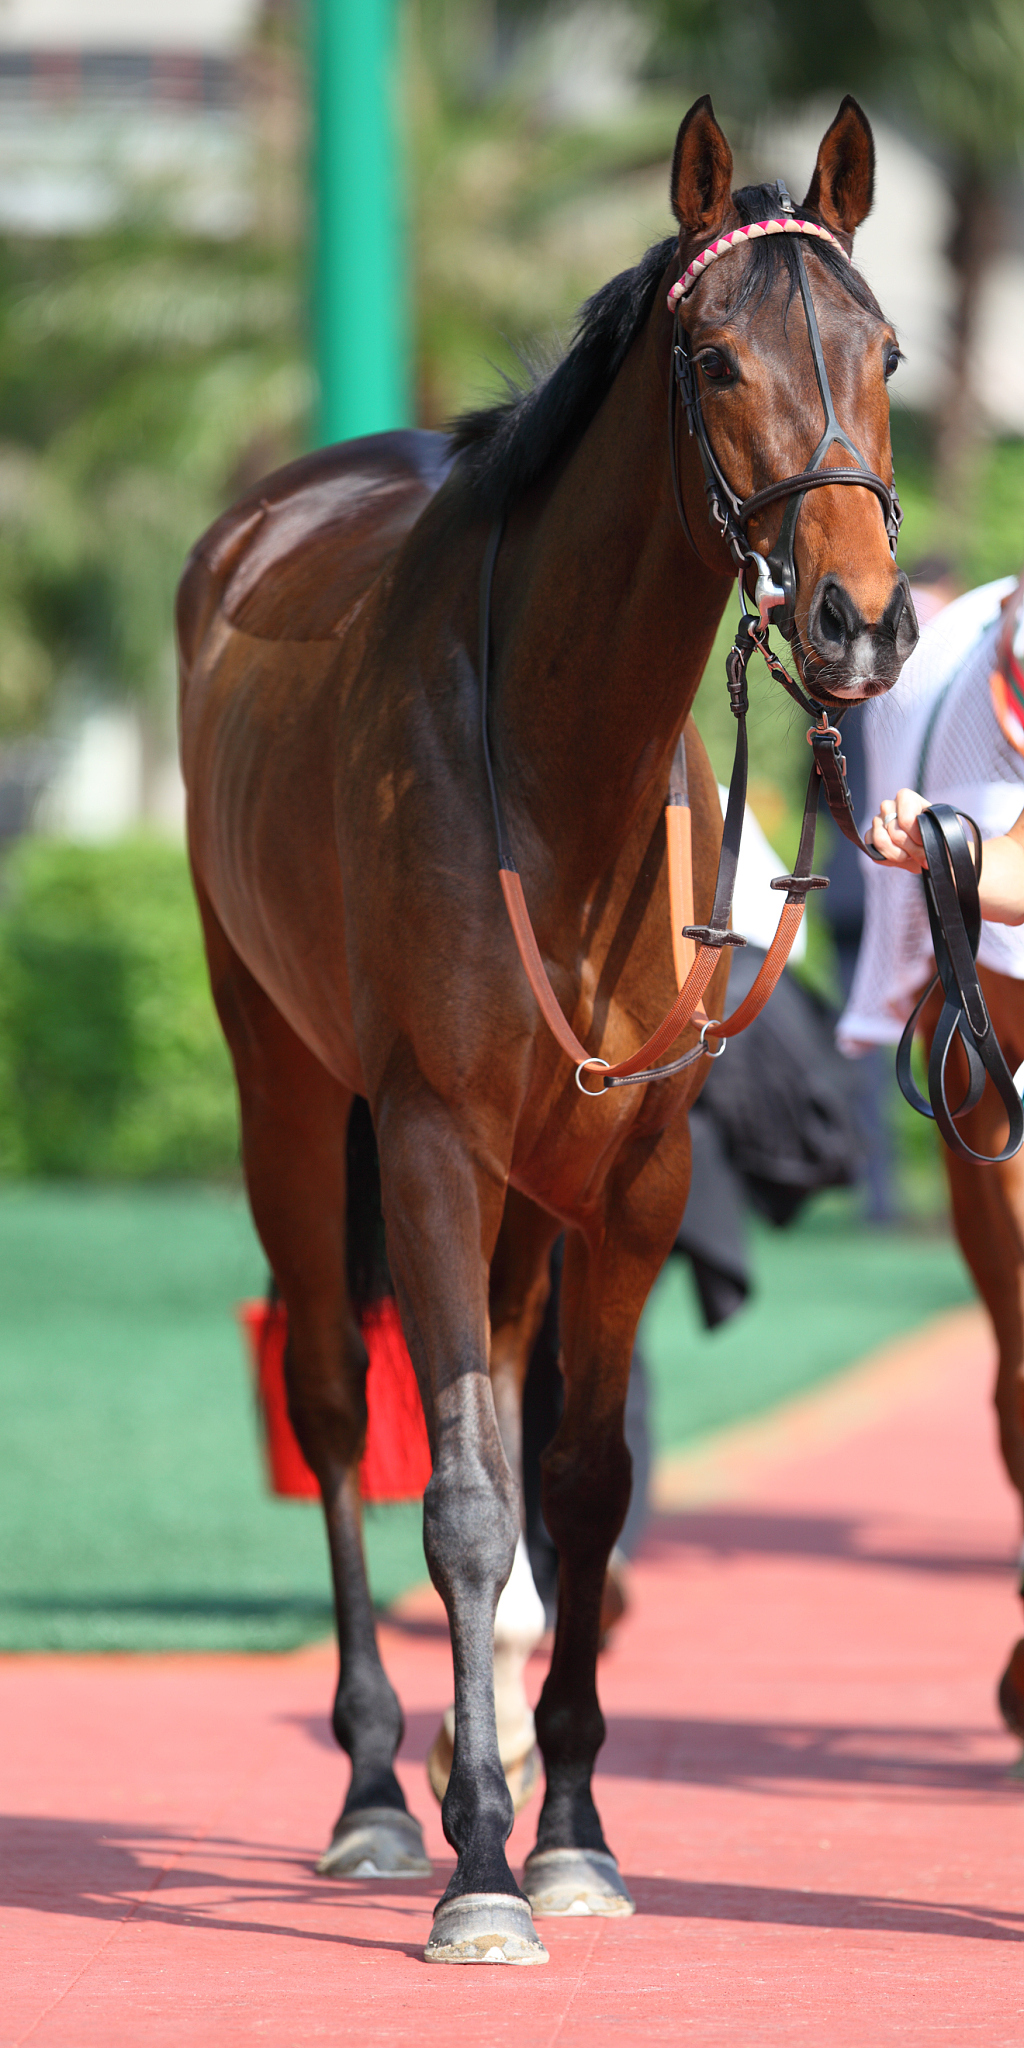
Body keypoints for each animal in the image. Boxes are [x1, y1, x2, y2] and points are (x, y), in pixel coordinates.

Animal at [177, 94, 916, 1965]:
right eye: (715, 359)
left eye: (883, 351)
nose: (860, 618)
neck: (555, 763)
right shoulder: (432, 1133)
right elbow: (457, 1492)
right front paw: (482, 1870)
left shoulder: (636, 1163)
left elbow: (577, 1481)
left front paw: (567, 1826)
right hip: (287, 1082)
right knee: (327, 1391)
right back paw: (383, 1790)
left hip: (535, 1172)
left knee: (507, 1392)